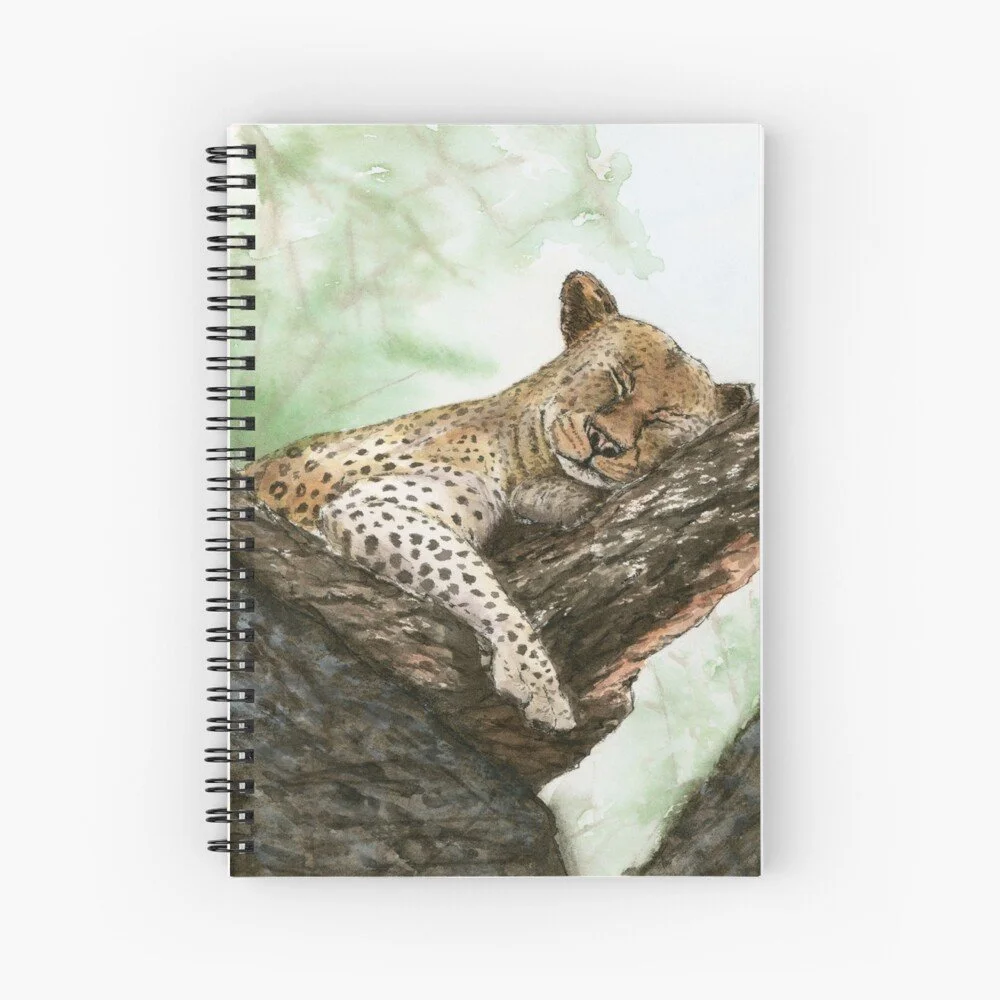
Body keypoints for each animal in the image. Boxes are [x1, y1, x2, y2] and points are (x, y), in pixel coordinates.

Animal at [246, 272, 750, 732]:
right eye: (616, 379)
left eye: (663, 419)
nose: (604, 442)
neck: (527, 455)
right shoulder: (374, 506)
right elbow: (477, 582)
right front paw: (538, 683)